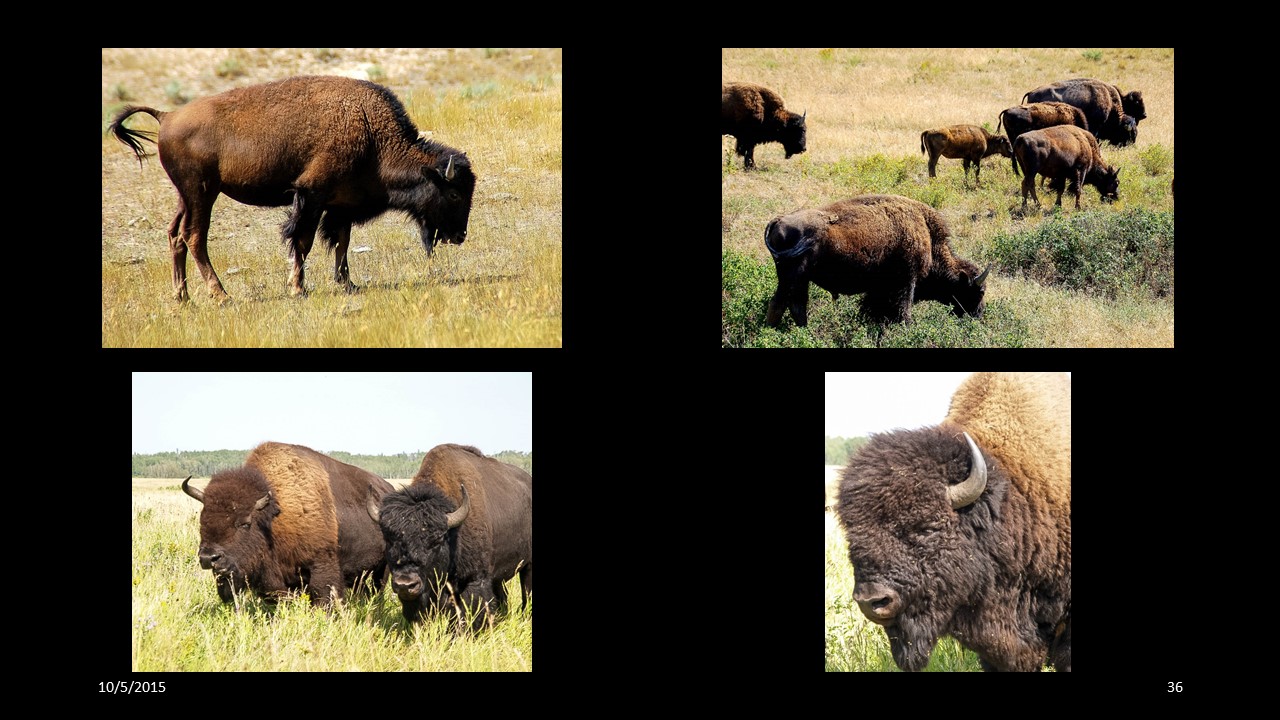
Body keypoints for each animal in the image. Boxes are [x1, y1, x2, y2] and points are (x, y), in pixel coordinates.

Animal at [107, 75, 477, 302]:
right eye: (454, 194)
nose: (459, 236)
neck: (372, 134)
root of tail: (166, 116)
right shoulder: (311, 196)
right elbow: (303, 240)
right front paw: (298, 287)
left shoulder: (340, 204)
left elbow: (341, 242)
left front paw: (348, 283)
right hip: (202, 193)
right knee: (194, 237)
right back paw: (221, 296)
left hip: (186, 196)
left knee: (175, 235)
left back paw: (183, 298)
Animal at [181, 442, 394, 608]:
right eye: (203, 519)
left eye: (245, 523)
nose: (209, 558)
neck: (272, 517)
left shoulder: (322, 567)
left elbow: (323, 599)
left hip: (382, 570)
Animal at [368, 444, 532, 630]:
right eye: (389, 539)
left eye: (437, 540)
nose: (405, 584)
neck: (453, 535)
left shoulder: (475, 580)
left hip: (528, 566)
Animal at [764, 194, 988, 327]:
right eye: (979, 291)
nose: (978, 315)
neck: (929, 239)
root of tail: (779, 220)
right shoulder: (907, 282)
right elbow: (903, 310)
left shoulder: (879, 288)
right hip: (793, 277)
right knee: (781, 303)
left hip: (798, 279)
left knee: (795, 306)